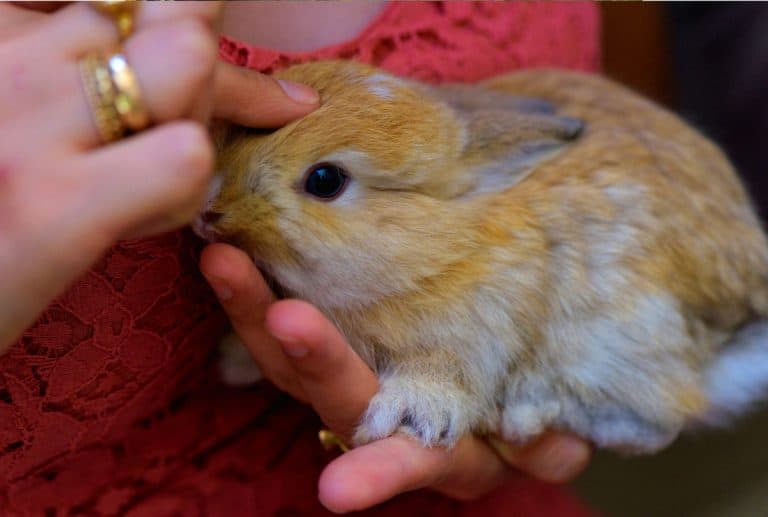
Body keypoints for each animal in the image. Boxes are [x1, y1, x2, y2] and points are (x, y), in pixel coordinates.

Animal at [195, 60, 768, 454]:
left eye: (324, 181)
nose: (208, 210)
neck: (442, 241)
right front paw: (234, 360)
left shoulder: (476, 331)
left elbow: (443, 373)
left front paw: (409, 415)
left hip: (619, 339)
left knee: (660, 420)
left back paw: (525, 415)